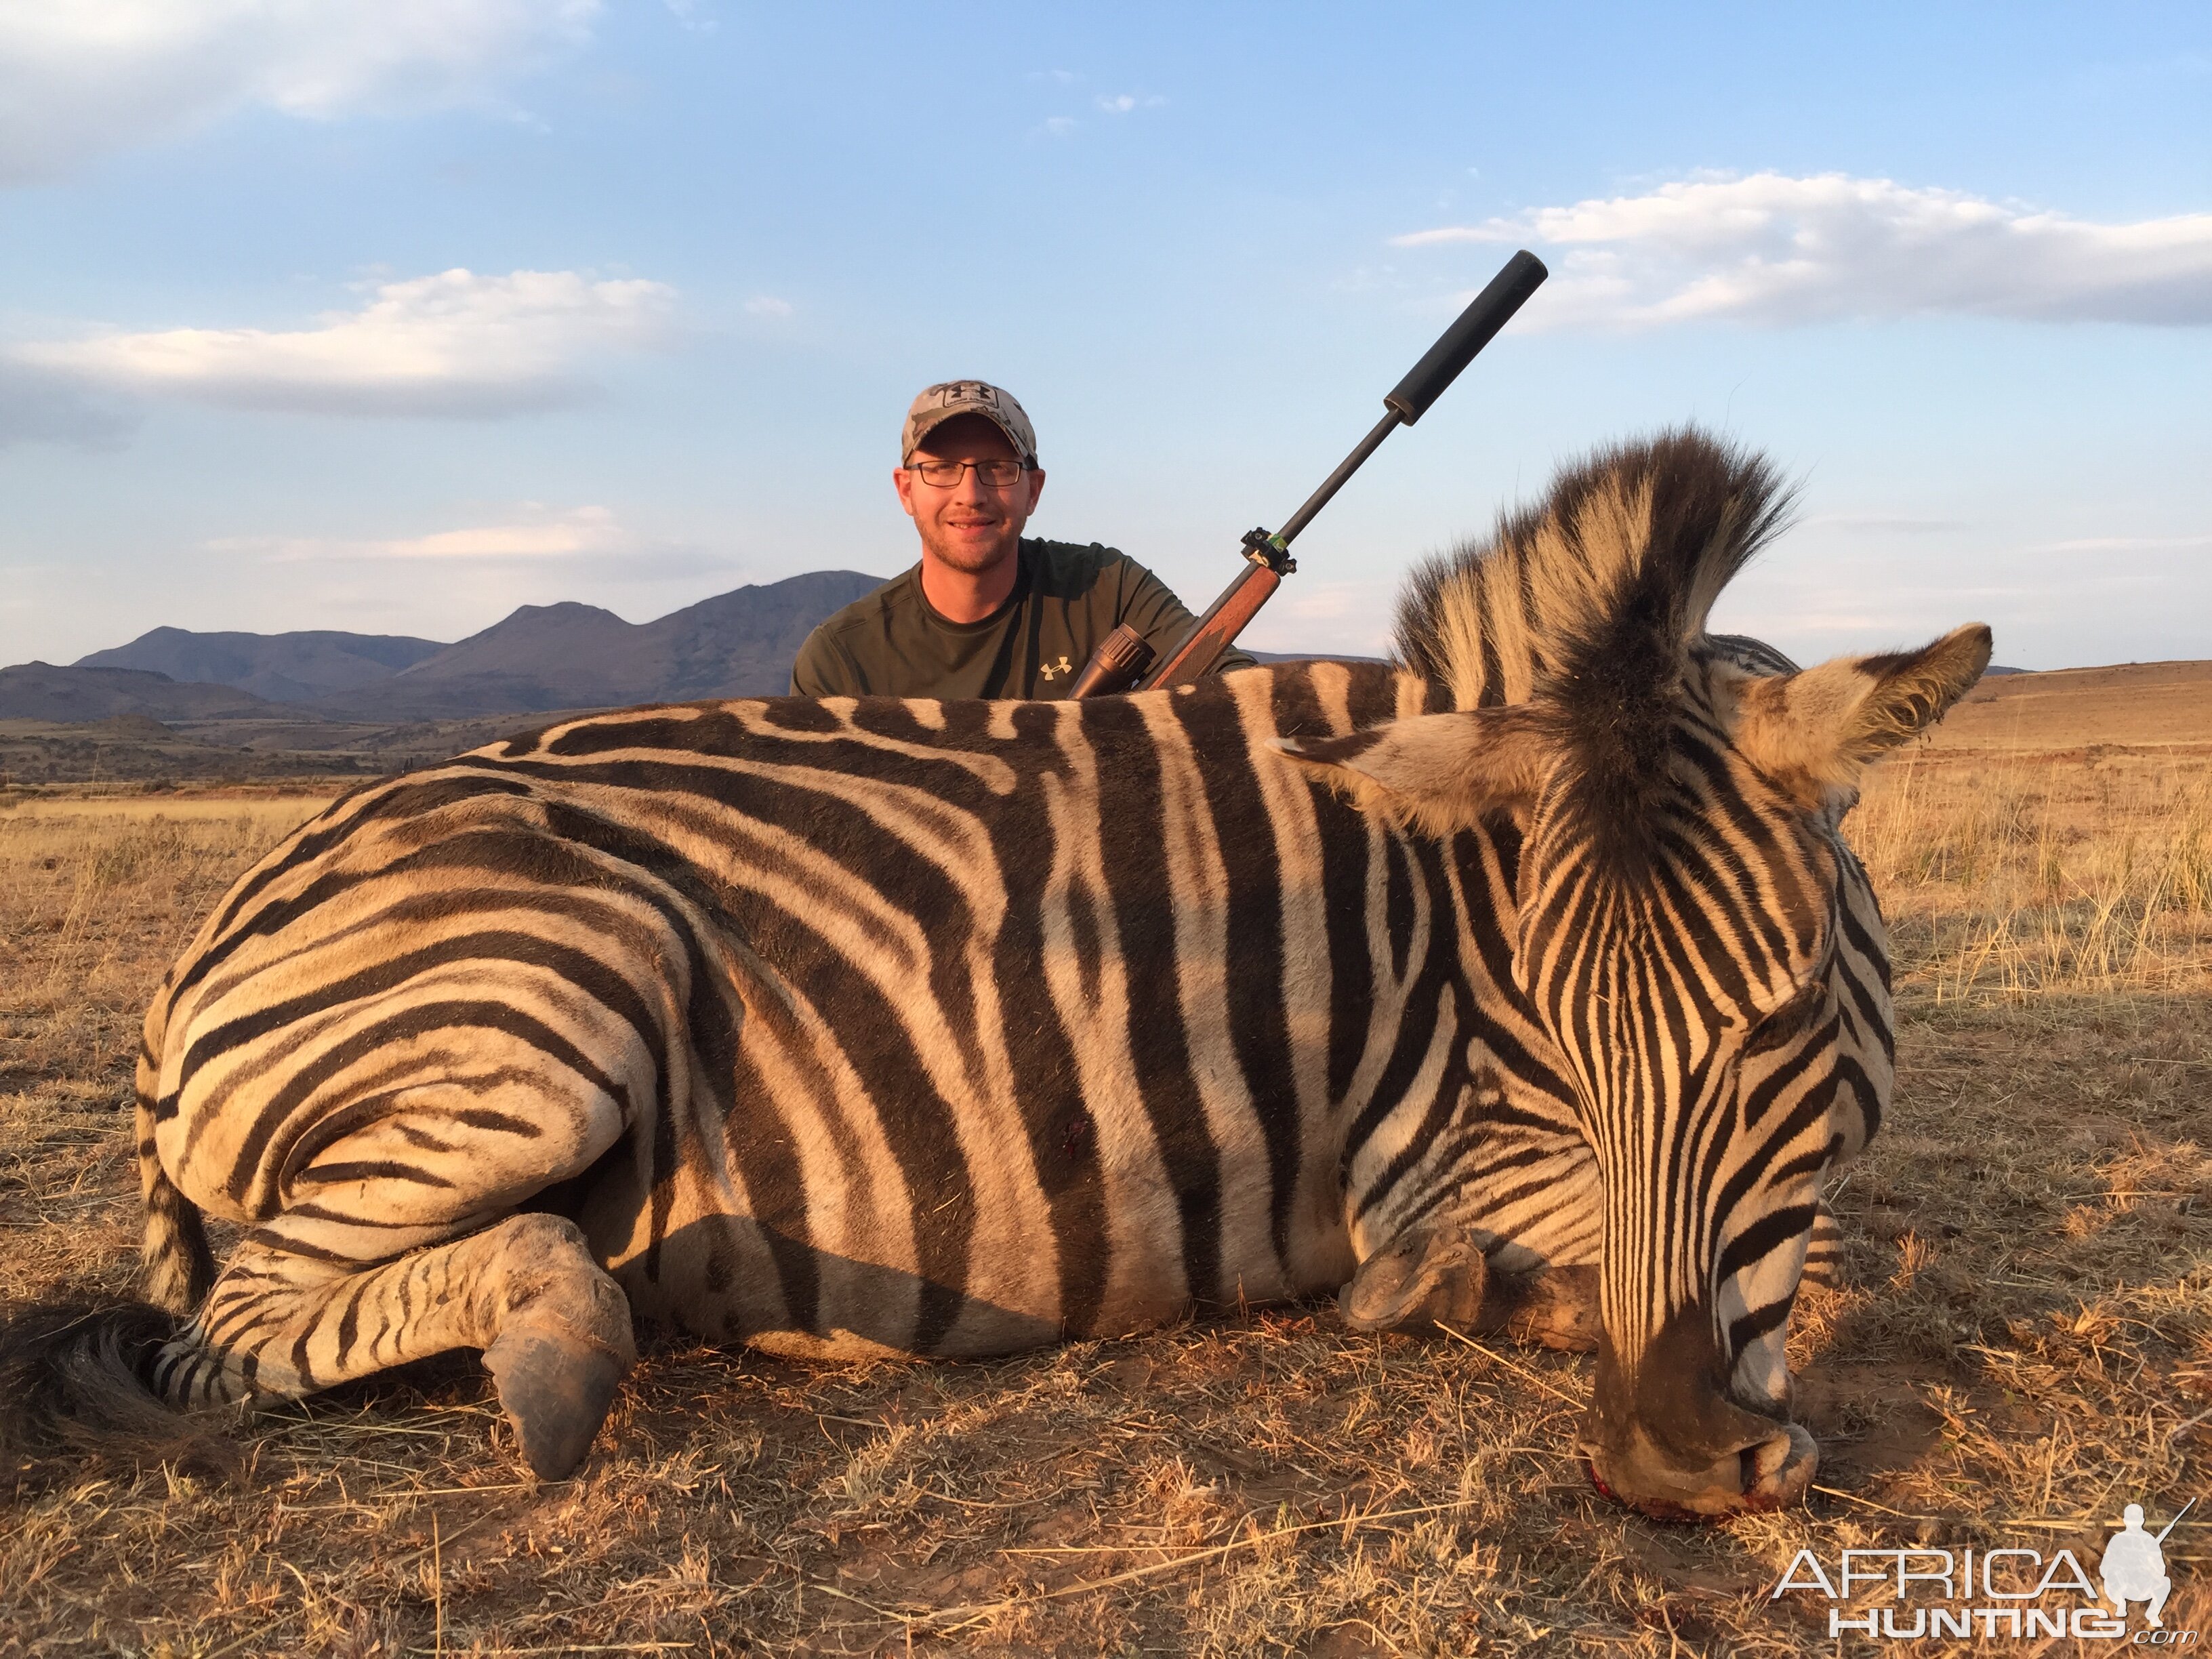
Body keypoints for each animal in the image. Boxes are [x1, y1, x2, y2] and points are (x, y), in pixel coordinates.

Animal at [0, 424, 1999, 1521]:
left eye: (1781, 1023)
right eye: (1564, 1048)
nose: (1670, 1465)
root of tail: (205, 950)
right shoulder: (1438, 1149)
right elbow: (1696, 1254)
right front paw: (1459, 1295)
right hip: (547, 996)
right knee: (233, 1333)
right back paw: (567, 1340)